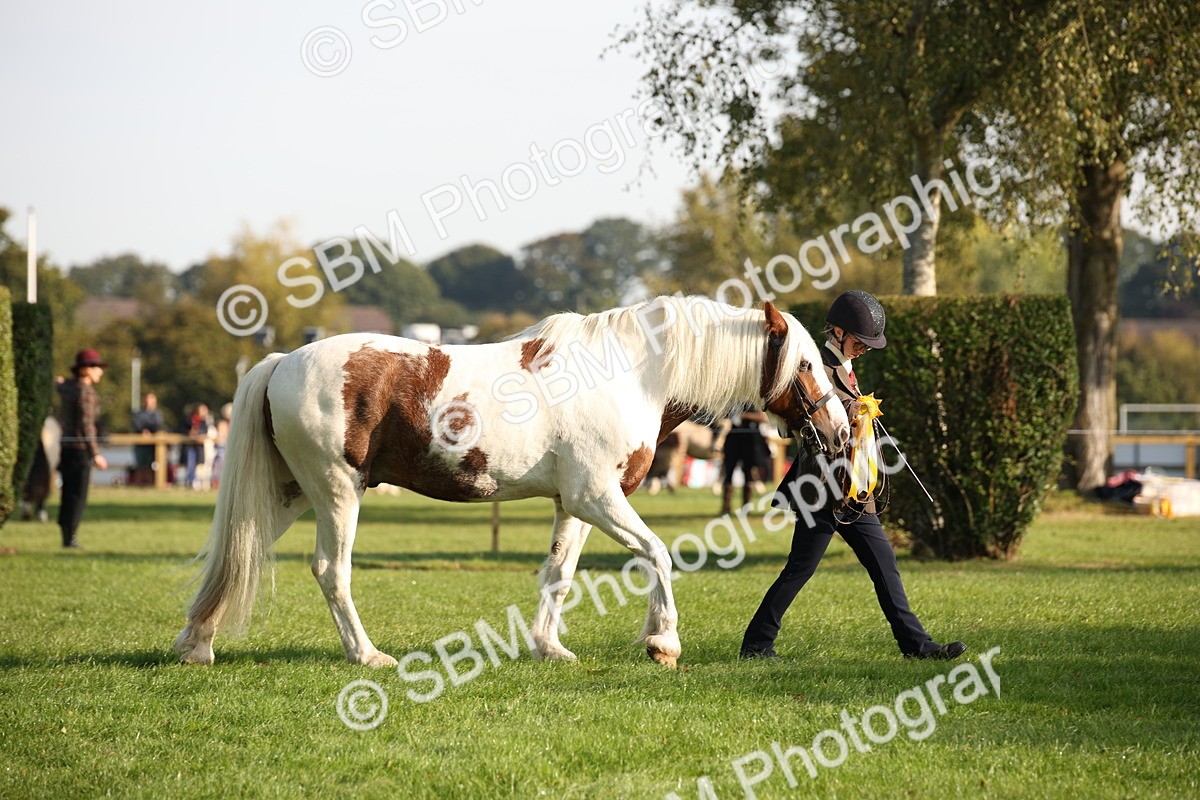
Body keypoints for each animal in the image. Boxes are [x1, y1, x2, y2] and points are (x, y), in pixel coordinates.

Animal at [173, 296, 850, 668]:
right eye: (807, 364)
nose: (841, 429)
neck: (632, 371)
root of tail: (281, 362)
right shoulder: (598, 499)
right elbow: (658, 553)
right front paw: (663, 642)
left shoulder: (573, 505)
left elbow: (558, 573)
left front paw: (549, 648)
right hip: (336, 493)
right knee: (330, 571)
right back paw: (366, 654)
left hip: (289, 494)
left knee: (238, 554)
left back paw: (197, 643)